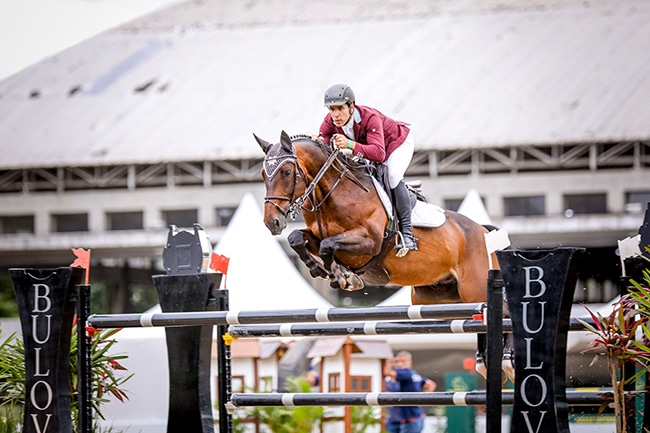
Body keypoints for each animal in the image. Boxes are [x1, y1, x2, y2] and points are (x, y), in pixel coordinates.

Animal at [253, 131, 512, 382]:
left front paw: (343, 277)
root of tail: (483, 230)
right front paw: (322, 270)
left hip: (474, 288)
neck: (335, 192)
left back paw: (506, 361)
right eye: (263, 175)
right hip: (437, 296)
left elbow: (328, 246)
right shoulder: (315, 237)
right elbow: (296, 238)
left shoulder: (369, 242)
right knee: (477, 316)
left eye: (287, 172)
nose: (272, 222)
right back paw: (484, 363)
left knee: (501, 311)